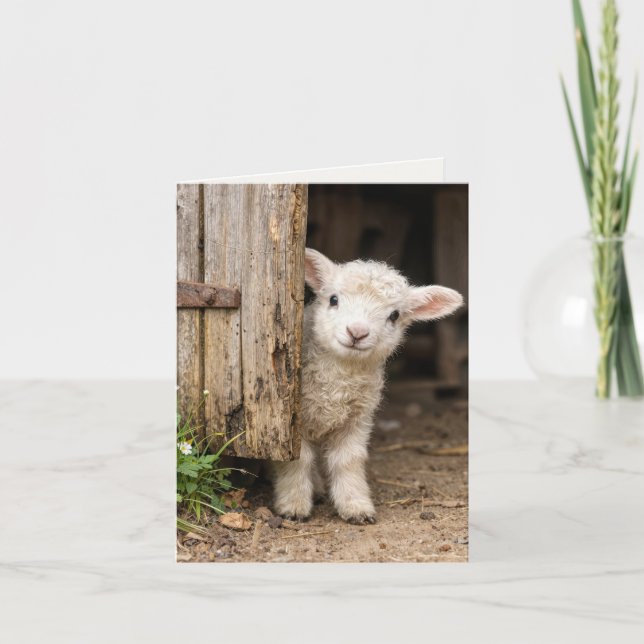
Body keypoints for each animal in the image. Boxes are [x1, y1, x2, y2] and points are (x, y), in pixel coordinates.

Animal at [272, 248, 463, 525]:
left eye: (394, 315)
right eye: (333, 299)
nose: (357, 332)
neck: (340, 377)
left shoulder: (358, 418)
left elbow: (349, 461)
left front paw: (356, 506)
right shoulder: (293, 422)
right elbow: (298, 460)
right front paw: (293, 505)